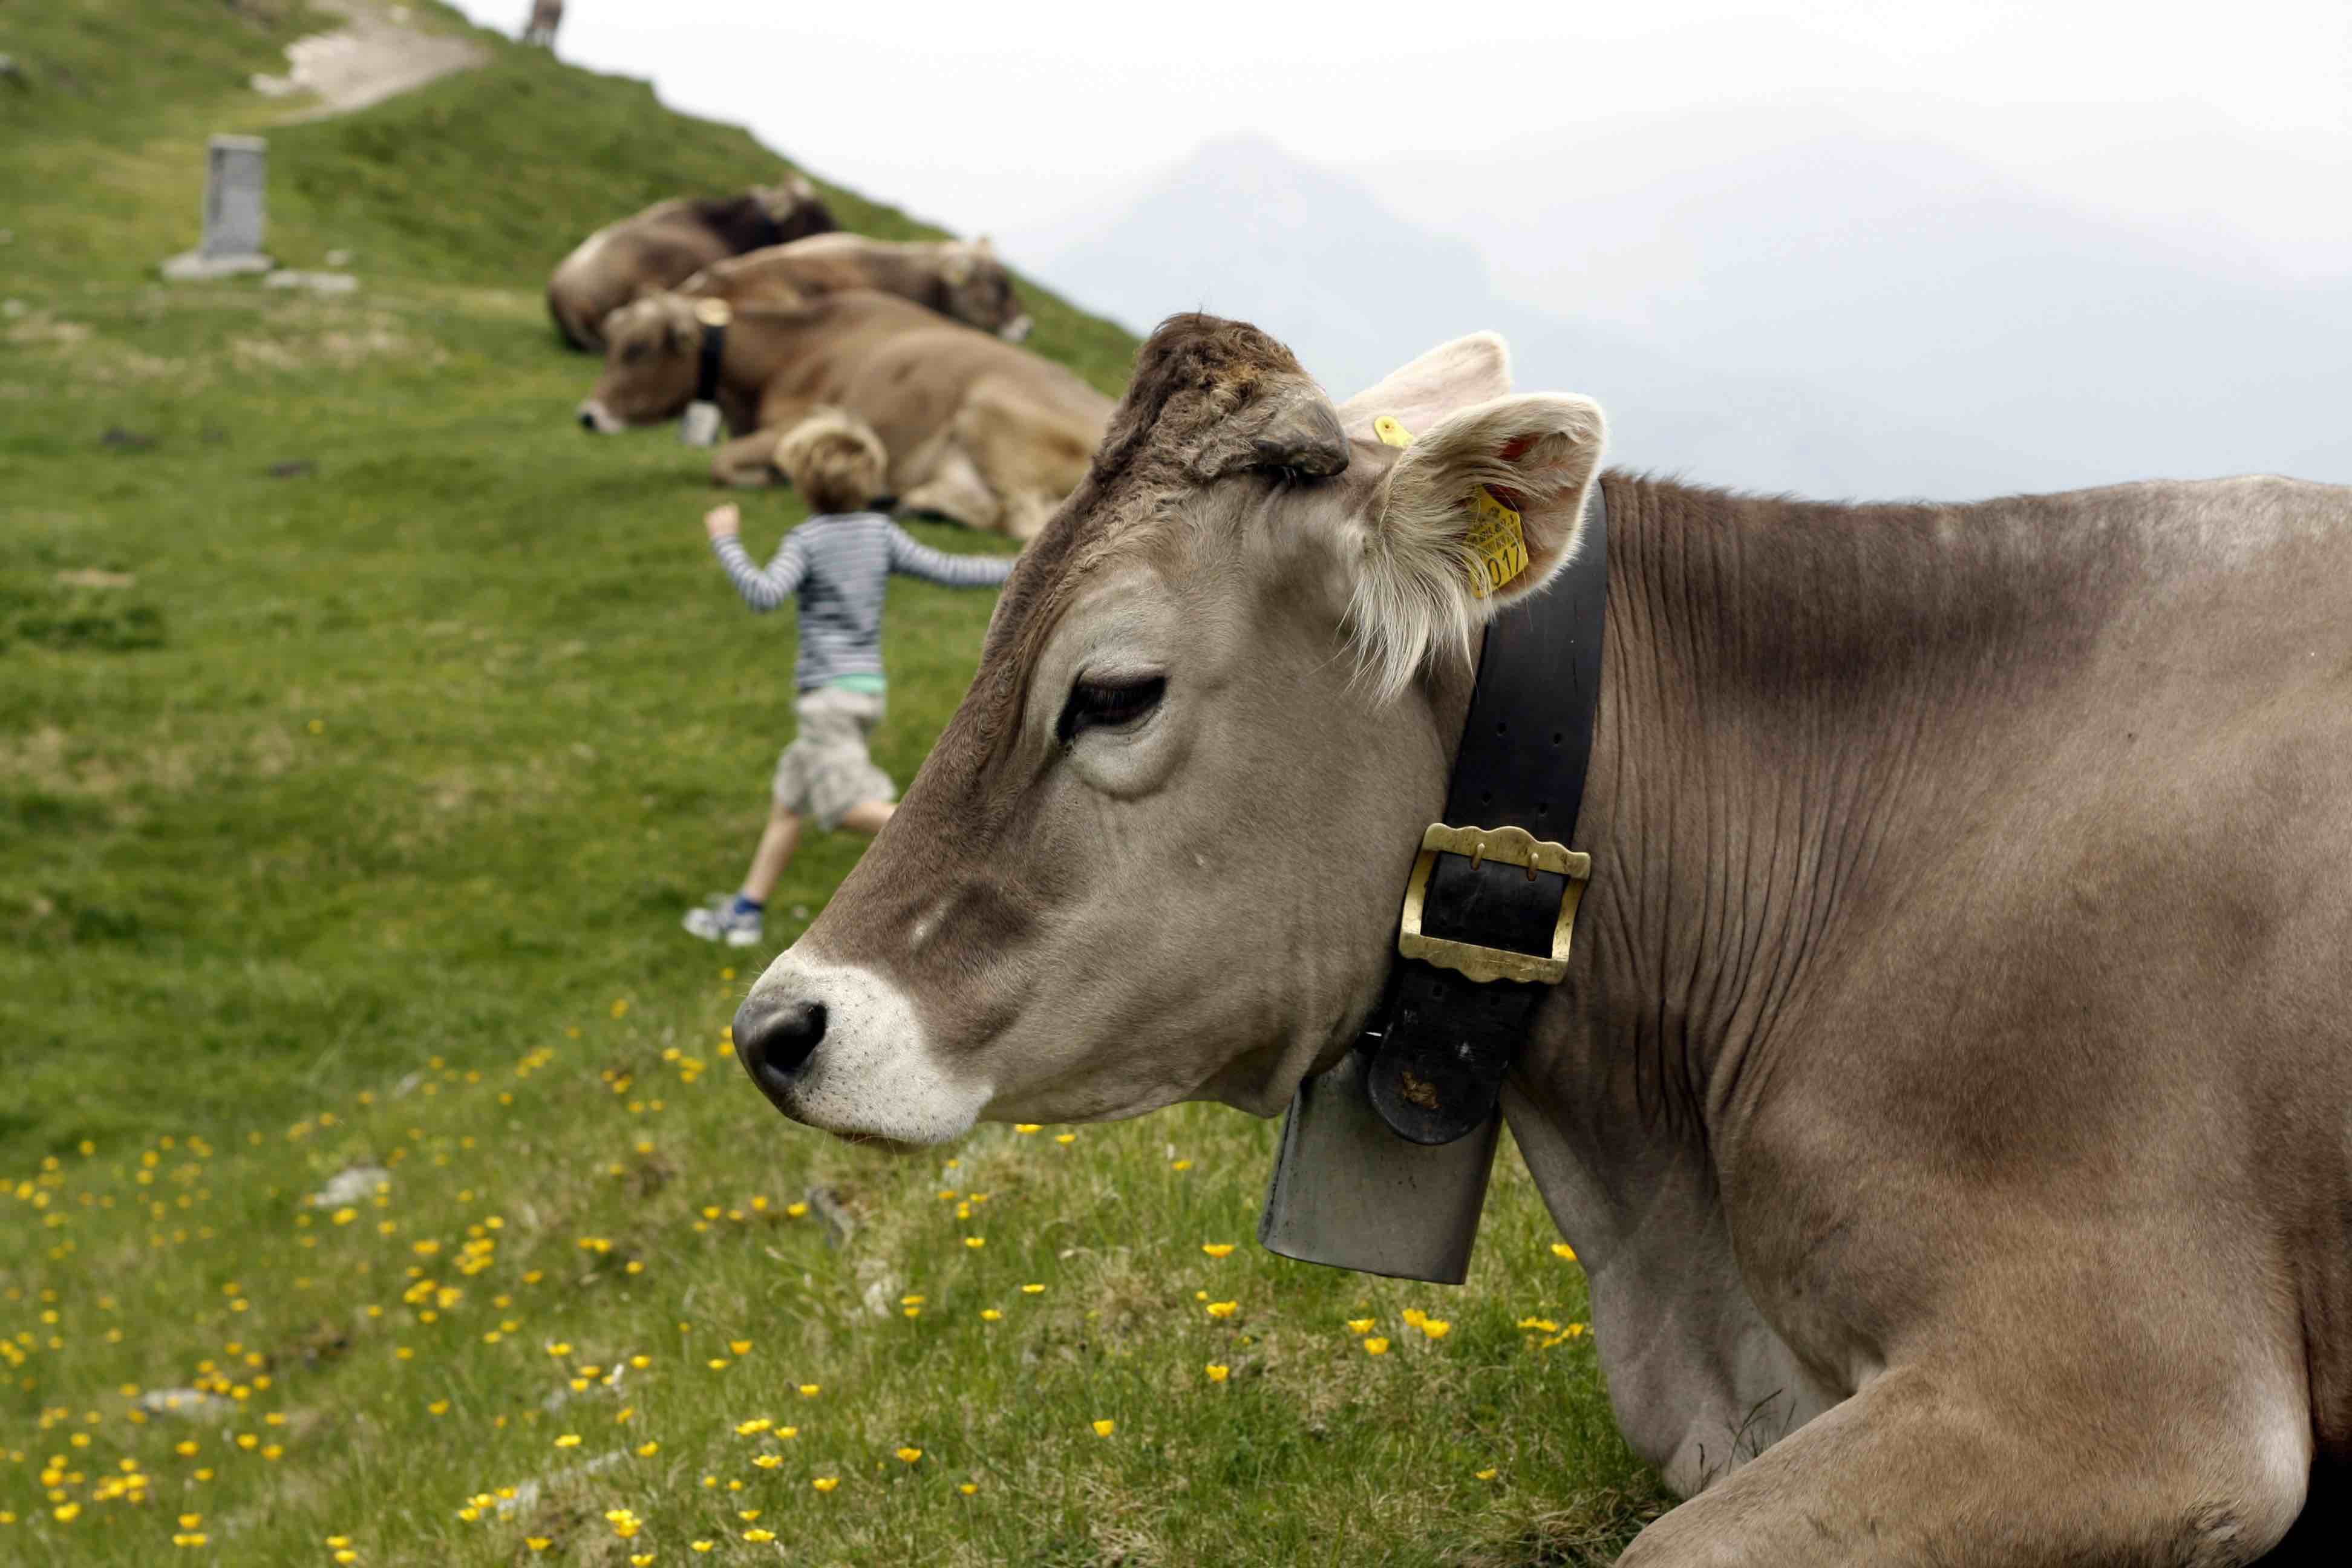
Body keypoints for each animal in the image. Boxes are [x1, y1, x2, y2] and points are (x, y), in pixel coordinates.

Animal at [576, 291, 1110, 543]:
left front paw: (768, 476)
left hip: (987, 410)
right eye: (613, 342)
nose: (587, 415)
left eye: (638, 348)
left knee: (1024, 520)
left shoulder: (799, 425)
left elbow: (723, 462)